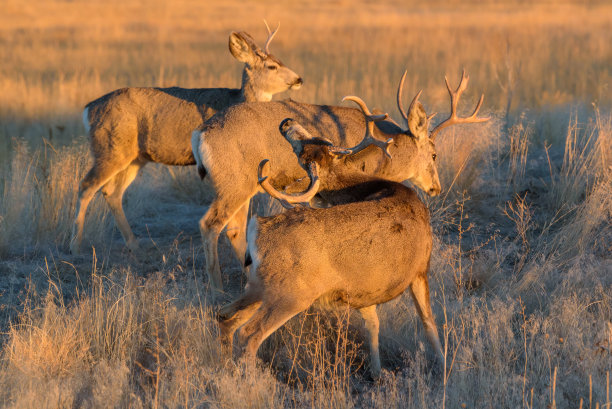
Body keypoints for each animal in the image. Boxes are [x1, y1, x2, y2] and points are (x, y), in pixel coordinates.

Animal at [70, 23, 302, 255]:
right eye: (272, 66)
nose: (299, 79)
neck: (239, 98)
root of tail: (89, 109)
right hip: (110, 149)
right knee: (86, 186)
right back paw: (76, 245)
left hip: (134, 157)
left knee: (111, 192)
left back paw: (134, 244)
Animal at [191, 68, 488, 290]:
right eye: (435, 155)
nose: (436, 187)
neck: (385, 147)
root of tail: (201, 133)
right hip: (234, 183)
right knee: (210, 224)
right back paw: (217, 289)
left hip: (244, 185)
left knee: (234, 227)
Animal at [218, 110, 448, 378]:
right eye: (299, 152)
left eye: (320, 140)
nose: (287, 122)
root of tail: (258, 228)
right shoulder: (421, 268)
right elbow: (429, 323)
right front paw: (444, 367)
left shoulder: (363, 289)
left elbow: (373, 326)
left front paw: (377, 372)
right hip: (290, 293)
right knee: (248, 334)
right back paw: (251, 380)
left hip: (259, 286)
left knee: (225, 316)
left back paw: (225, 368)